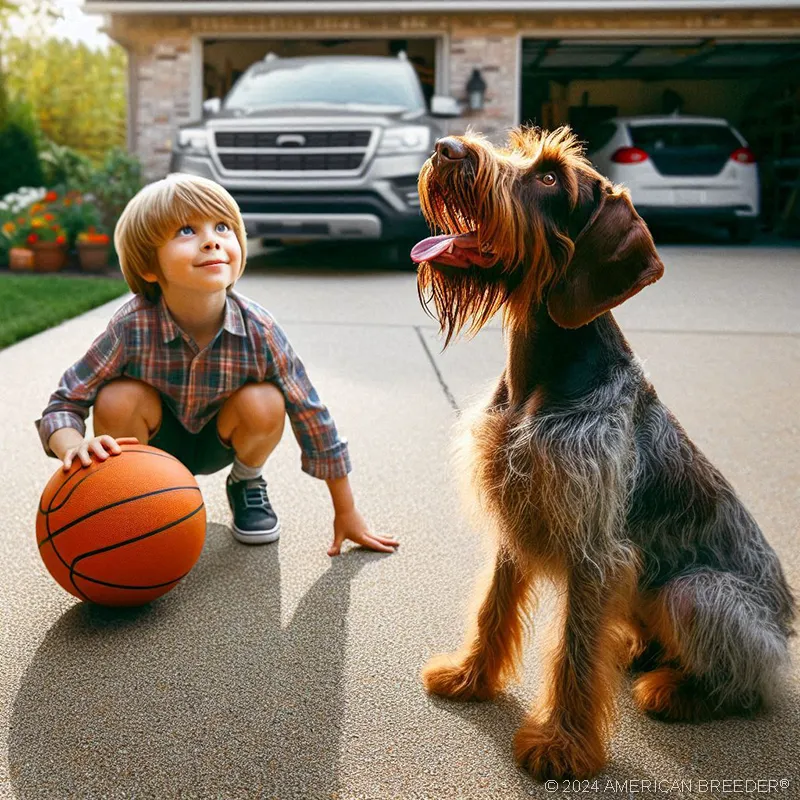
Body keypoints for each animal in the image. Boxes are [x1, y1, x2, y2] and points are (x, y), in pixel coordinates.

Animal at [412, 128, 792, 780]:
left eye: (548, 179)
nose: (446, 147)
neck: (538, 377)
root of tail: (787, 623)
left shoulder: (596, 551)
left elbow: (574, 651)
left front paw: (562, 745)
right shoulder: (518, 514)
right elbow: (493, 609)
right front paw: (471, 677)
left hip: (696, 593)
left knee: (750, 684)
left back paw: (678, 691)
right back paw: (641, 650)